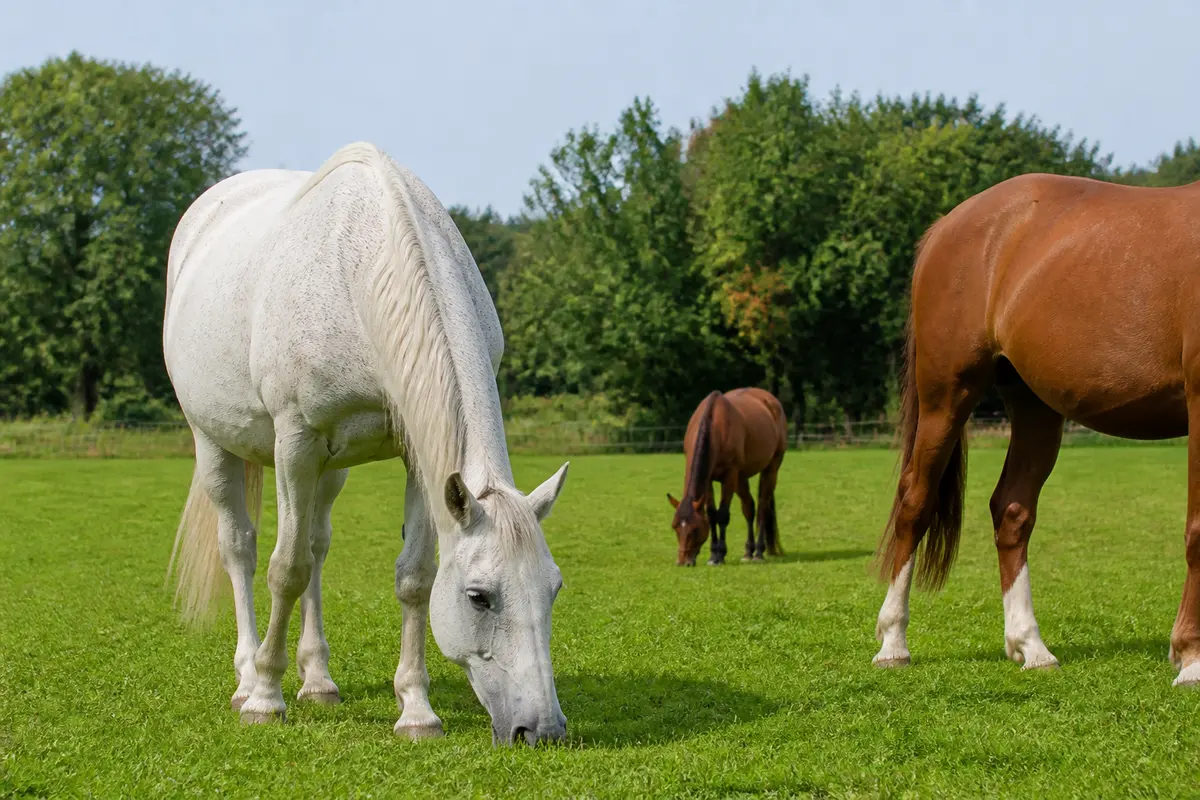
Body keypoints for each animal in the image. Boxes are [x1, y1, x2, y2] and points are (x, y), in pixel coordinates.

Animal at [163, 142, 572, 745]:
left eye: (554, 588)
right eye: (479, 597)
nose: (542, 730)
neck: (358, 272)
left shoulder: (418, 460)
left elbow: (413, 578)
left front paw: (417, 710)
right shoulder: (295, 442)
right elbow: (284, 568)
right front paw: (265, 698)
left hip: (331, 470)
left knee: (316, 545)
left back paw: (318, 681)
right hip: (214, 443)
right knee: (241, 548)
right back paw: (247, 676)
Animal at [667, 388, 787, 566]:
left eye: (695, 529)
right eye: (675, 526)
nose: (683, 562)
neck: (715, 424)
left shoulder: (730, 475)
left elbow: (723, 515)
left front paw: (720, 555)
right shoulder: (709, 479)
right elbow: (711, 514)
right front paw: (712, 555)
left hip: (770, 470)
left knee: (762, 508)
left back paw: (758, 552)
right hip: (741, 478)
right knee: (749, 508)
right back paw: (748, 552)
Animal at [872, 171, 1200, 689]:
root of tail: (946, 225)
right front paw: (1191, 658)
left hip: (1034, 405)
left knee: (1011, 510)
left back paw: (1031, 646)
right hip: (947, 396)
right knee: (914, 502)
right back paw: (893, 643)